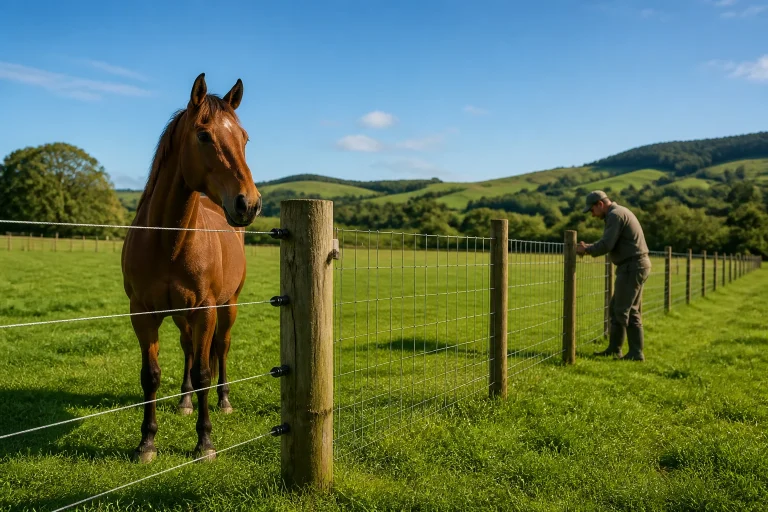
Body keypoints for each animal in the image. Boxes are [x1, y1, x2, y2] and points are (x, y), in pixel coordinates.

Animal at [121, 73, 262, 463]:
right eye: (203, 135)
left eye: (244, 138)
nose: (249, 203)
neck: (167, 242)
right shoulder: (143, 313)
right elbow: (151, 375)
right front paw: (147, 442)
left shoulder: (205, 310)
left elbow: (203, 373)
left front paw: (205, 442)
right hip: (182, 315)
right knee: (187, 348)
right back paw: (184, 402)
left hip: (227, 307)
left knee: (221, 349)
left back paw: (224, 400)